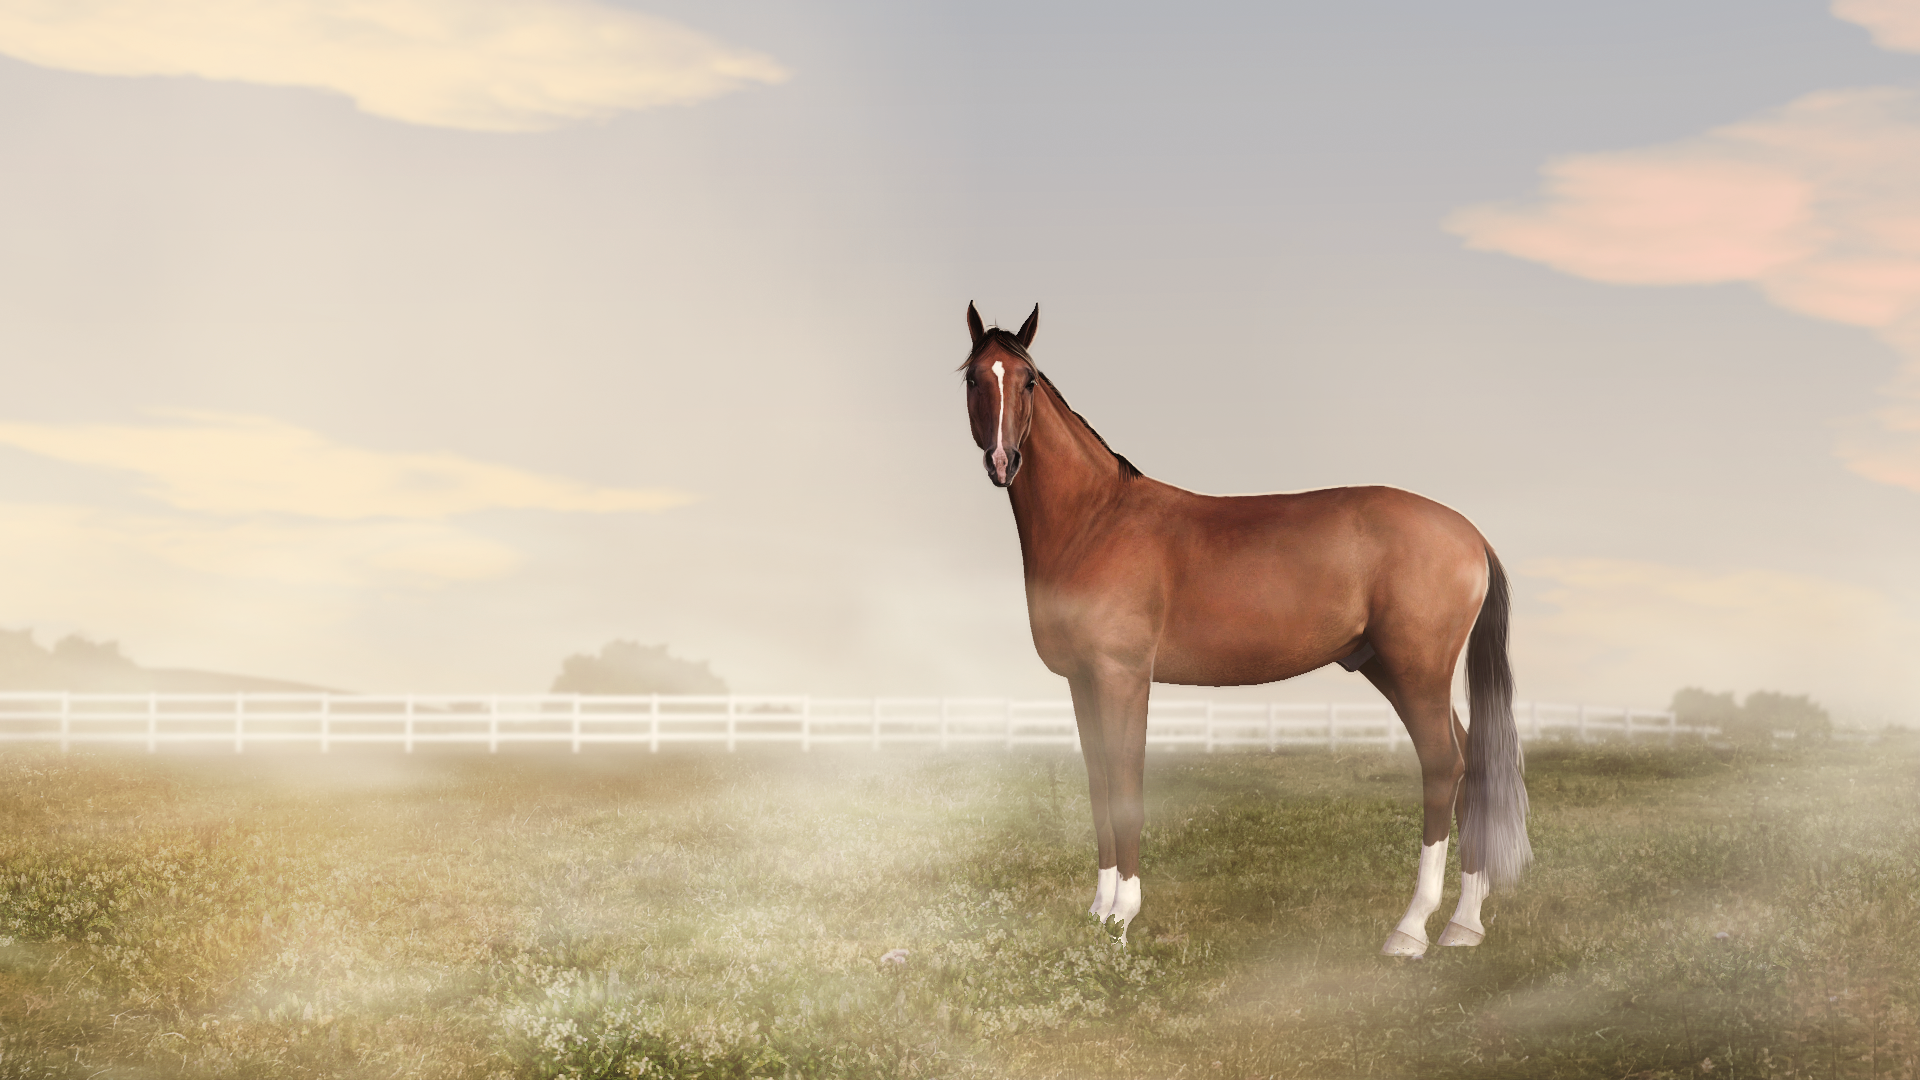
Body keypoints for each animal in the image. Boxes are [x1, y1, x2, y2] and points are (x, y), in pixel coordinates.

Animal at [958, 302, 1530, 955]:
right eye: (973, 377)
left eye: (1028, 380)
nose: (1003, 462)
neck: (1095, 522)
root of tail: (1470, 534)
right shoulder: (1082, 681)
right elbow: (1099, 785)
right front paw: (1099, 912)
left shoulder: (1122, 677)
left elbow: (1125, 786)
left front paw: (1124, 917)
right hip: (1391, 668)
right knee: (1472, 764)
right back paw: (1465, 923)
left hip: (1418, 670)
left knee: (1443, 766)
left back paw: (1410, 930)